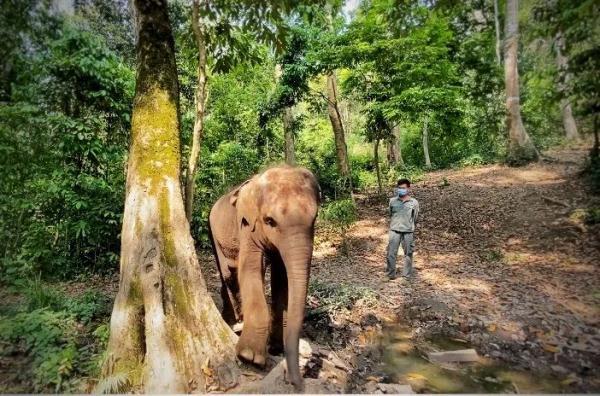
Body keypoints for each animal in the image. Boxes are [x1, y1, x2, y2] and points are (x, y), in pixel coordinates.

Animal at [207, 166, 322, 390]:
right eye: (270, 221)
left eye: (315, 218)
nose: (298, 384)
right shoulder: (246, 226)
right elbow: (251, 268)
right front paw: (249, 357)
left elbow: (282, 277)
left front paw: (276, 347)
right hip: (213, 234)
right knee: (228, 274)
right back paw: (233, 321)